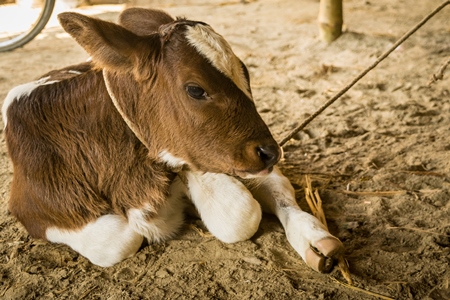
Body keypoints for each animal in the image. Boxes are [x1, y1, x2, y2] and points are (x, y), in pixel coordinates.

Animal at [1, 7, 342, 270]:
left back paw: (317, 240)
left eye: (245, 73)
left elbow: (241, 212)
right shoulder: (31, 208)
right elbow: (120, 240)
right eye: (195, 89)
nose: (271, 152)